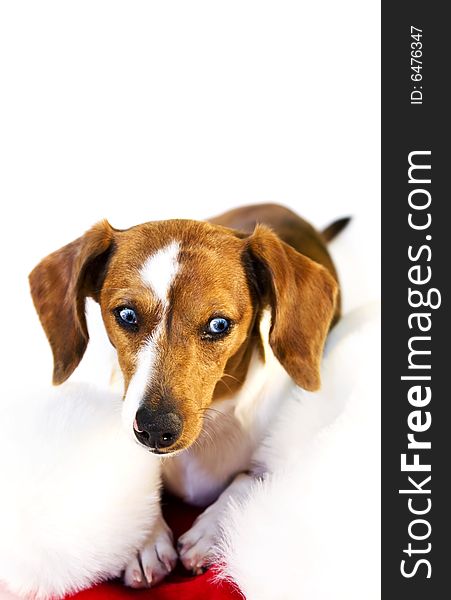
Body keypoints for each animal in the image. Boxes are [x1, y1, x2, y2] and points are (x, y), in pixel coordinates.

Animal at [29, 204, 350, 588]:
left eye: (219, 325)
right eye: (127, 314)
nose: (155, 428)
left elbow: (246, 479)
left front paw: (210, 530)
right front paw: (144, 539)